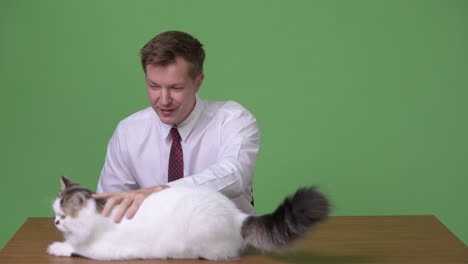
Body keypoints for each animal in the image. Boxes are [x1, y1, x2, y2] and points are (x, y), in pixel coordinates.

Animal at [45, 176, 328, 260]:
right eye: (56, 214)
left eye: (63, 215)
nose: (56, 223)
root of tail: (237, 216)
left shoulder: (101, 249)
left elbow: (75, 247)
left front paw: (58, 246)